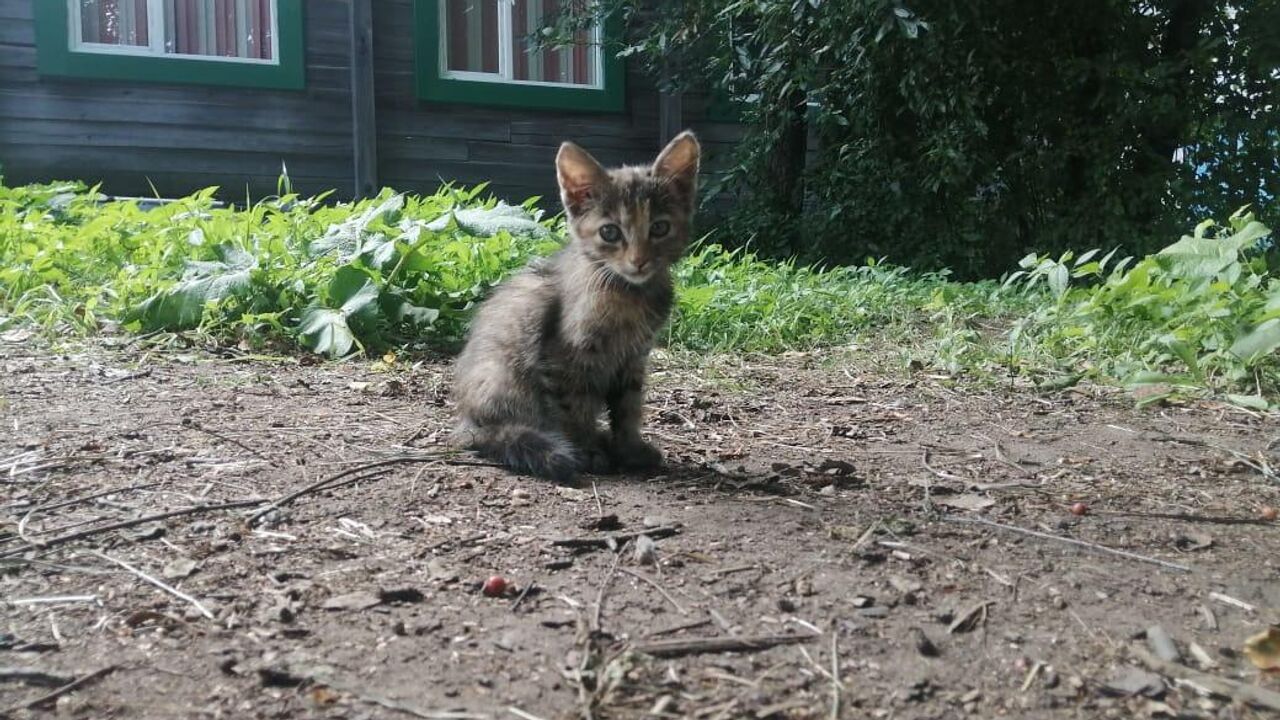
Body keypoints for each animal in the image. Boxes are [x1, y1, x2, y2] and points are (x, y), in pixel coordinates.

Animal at [450, 129, 706, 481]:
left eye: (659, 228)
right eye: (610, 232)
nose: (638, 261)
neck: (628, 294)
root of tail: (467, 421)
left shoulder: (634, 358)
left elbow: (629, 408)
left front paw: (629, 449)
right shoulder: (565, 358)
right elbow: (575, 410)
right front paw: (587, 450)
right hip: (503, 375)